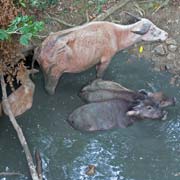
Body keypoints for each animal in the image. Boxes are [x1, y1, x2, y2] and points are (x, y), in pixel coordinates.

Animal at [37, 12, 169, 95]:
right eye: (153, 30)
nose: (166, 34)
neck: (117, 36)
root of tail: (40, 49)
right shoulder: (106, 59)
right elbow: (99, 75)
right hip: (54, 74)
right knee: (49, 88)